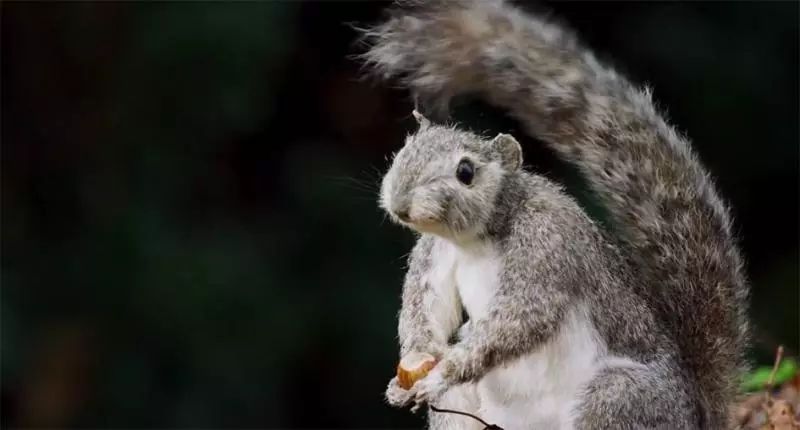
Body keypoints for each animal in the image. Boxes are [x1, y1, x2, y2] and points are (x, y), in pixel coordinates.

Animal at [360, 1, 752, 428]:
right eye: (404, 150)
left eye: (466, 172)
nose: (399, 203)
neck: (475, 240)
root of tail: (694, 414)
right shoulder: (434, 253)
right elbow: (427, 312)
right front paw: (405, 377)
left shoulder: (547, 244)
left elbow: (524, 316)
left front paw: (442, 372)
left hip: (618, 397)